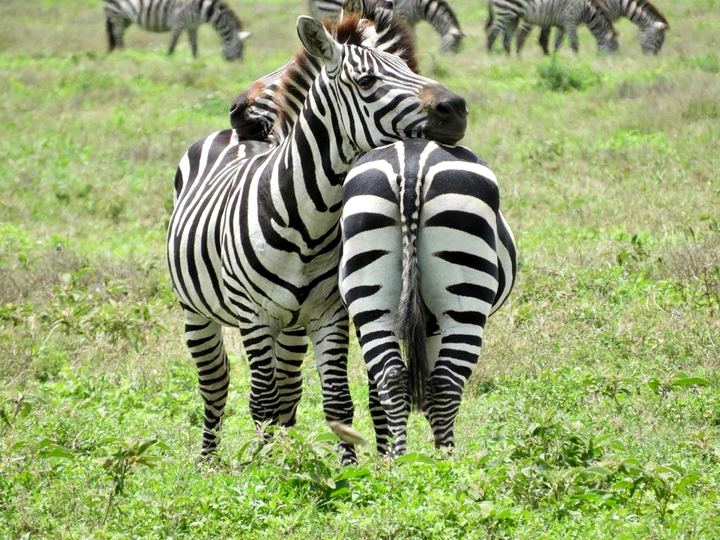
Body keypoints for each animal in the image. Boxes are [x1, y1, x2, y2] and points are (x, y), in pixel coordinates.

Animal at [103, 0, 251, 60]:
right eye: (239, 50)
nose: (239, 67)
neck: (203, 10)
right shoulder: (178, 22)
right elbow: (172, 45)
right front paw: (168, 60)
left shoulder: (192, 26)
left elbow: (194, 46)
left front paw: (196, 61)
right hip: (117, 16)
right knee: (118, 37)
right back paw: (123, 54)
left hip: (125, 19)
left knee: (116, 36)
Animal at [167, 9, 467, 465]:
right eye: (367, 81)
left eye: (410, 71)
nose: (458, 108)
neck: (308, 222)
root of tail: (230, 136)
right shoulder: (253, 317)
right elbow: (260, 401)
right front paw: (265, 468)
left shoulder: (330, 315)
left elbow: (338, 400)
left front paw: (347, 466)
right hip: (197, 311)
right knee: (216, 384)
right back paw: (208, 460)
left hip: (292, 327)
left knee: (288, 391)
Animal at [338, 140, 516, 454]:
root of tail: (410, 167)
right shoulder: (436, 325)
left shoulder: (424, 326)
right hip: (464, 294)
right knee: (445, 383)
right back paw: (446, 459)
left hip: (370, 297)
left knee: (392, 378)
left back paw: (398, 460)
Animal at [486, 0, 618, 55]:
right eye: (613, 49)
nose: (612, 65)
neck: (586, 10)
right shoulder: (570, 21)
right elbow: (574, 44)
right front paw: (576, 60)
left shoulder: (562, 25)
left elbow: (557, 43)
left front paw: (555, 58)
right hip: (505, 11)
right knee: (492, 34)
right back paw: (489, 55)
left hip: (513, 16)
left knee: (506, 39)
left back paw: (510, 58)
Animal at [516, 0, 668, 55]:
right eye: (658, 41)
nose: (651, 60)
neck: (620, 3)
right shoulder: (605, 12)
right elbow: (605, 34)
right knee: (522, 33)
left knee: (542, 39)